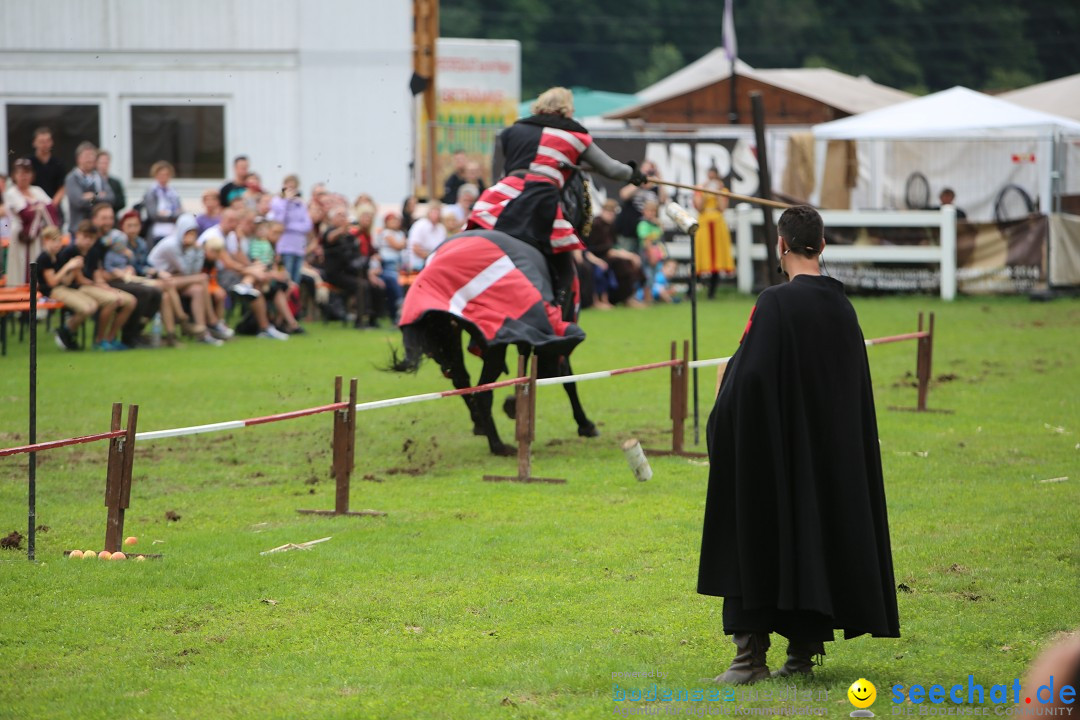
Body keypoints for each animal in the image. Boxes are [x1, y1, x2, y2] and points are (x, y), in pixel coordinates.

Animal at [393, 227, 600, 455]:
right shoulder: (546, 339)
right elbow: (561, 376)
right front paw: (585, 424)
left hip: (446, 336)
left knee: (461, 380)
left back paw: (482, 425)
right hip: (495, 345)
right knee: (483, 392)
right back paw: (499, 446)